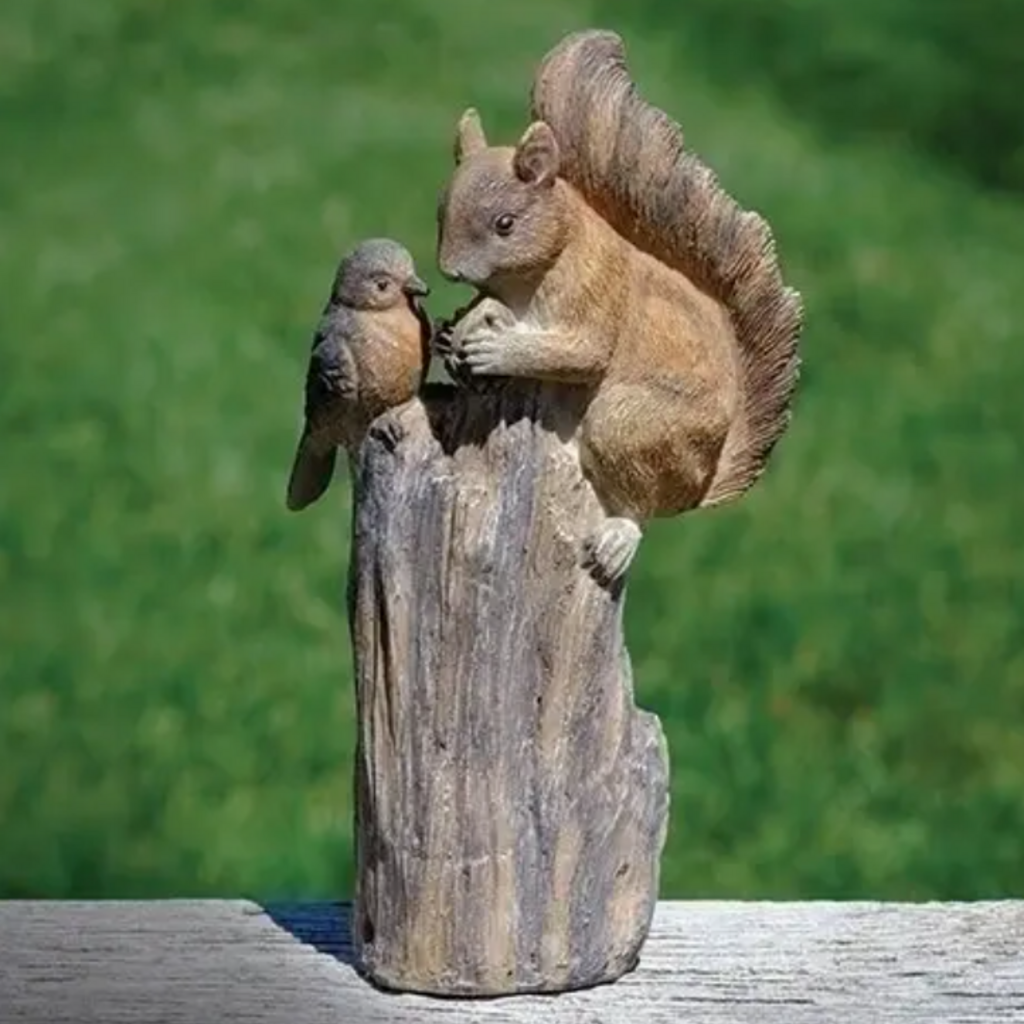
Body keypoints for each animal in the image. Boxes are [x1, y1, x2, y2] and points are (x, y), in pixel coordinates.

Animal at [435, 29, 803, 585]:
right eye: (441, 210)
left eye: (505, 224)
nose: (450, 270)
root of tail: (701, 483)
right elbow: (494, 307)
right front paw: (465, 323)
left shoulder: (595, 287)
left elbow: (582, 352)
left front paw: (497, 350)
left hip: (627, 424)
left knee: (640, 504)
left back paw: (618, 537)